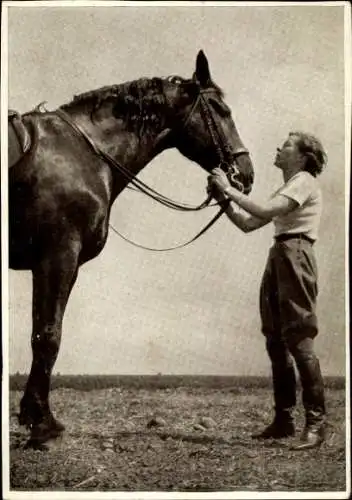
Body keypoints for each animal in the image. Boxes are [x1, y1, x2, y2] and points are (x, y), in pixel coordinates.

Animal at [8, 50, 254, 448]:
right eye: (220, 109)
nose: (244, 174)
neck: (82, 153)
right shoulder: (58, 256)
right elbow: (48, 336)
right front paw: (41, 424)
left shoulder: (54, 264)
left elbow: (42, 332)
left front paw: (37, 417)